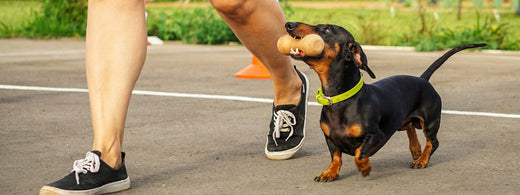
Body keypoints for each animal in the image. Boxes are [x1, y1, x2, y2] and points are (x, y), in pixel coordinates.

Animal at [282, 22, 486, 182]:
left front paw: (365, 168)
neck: (341, 99)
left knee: (433, 142)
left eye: (326, 29)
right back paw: (416, 151)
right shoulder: (330, 138)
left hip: (429, 122)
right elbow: (336, 157)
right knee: (411, 129)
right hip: (404, 121)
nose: (289, 24)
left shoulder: (376, 135)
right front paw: (329, 173)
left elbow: (359, 154)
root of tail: (423, 80)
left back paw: (422, 160)